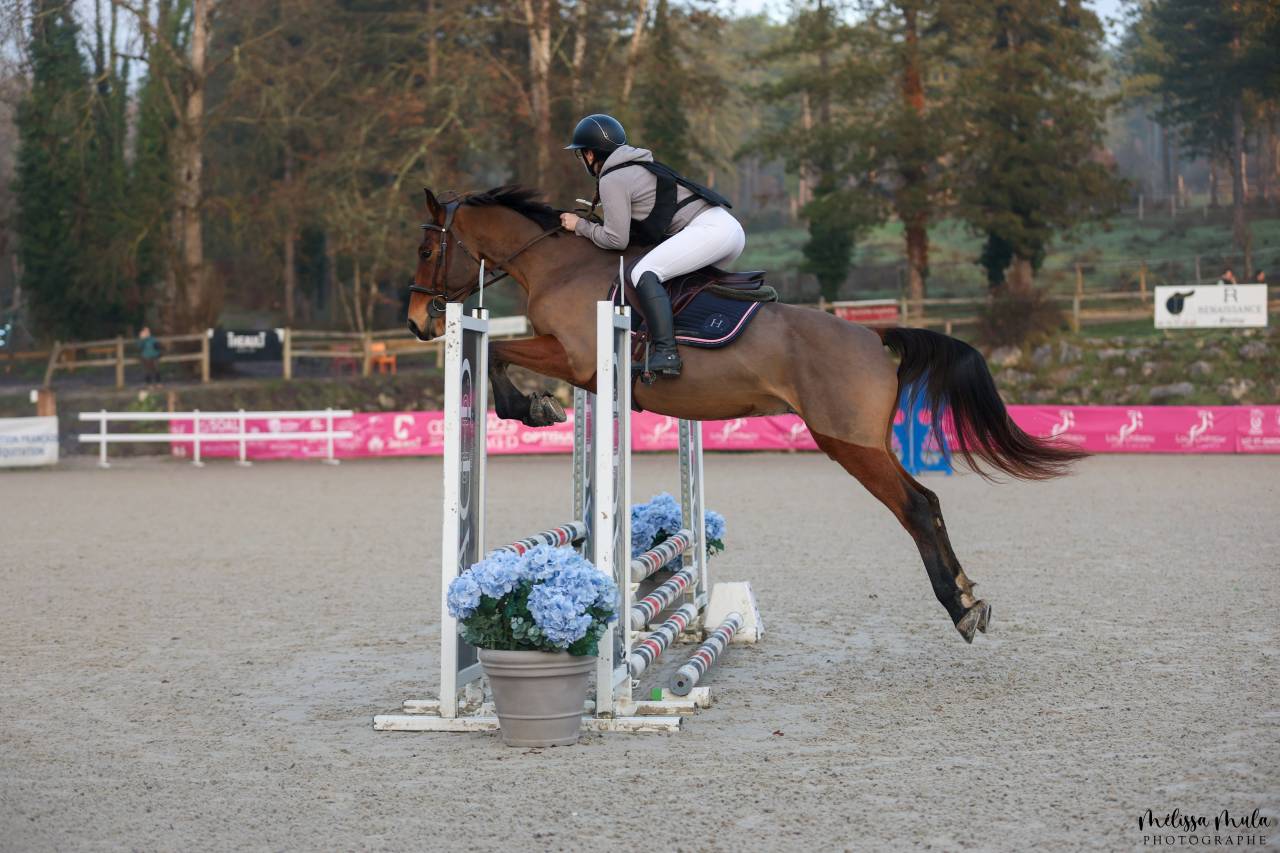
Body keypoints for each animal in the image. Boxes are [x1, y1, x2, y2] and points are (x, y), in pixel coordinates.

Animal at [406, 186, 1086, 643]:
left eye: (426, 247)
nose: (415, 322)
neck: (558, 262)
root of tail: (873, 336)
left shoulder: (574, 357)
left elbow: (499, 350)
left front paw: (528, 405)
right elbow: (500, 350)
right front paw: (533, 405)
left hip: (847, 443)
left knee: (916, 507)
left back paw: (961, 608)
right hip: (866, 442)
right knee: (930, 502)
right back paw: (969, 597)